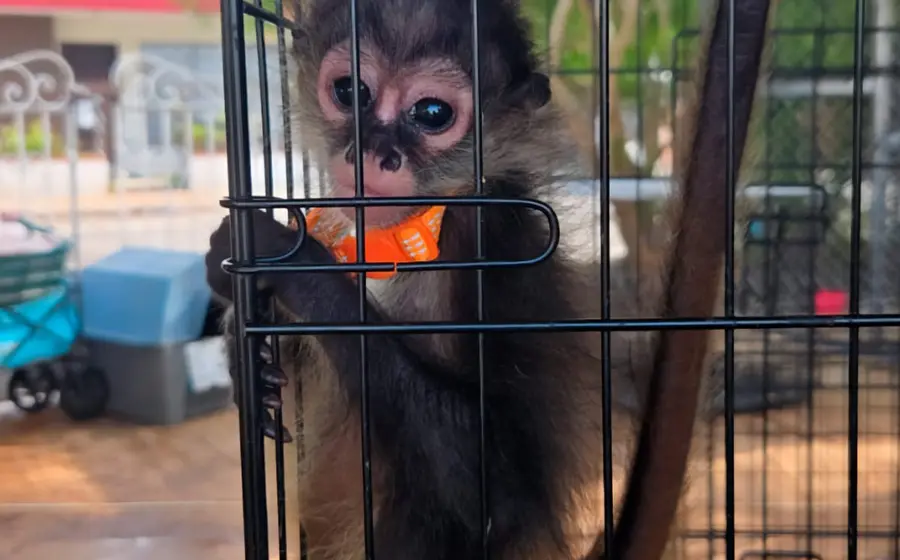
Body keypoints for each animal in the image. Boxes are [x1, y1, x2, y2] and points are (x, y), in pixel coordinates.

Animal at [205, 0, 772, 558]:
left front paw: (296, 267)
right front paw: (249, 343)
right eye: (349, 91)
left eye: (432, 114)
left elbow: (502, 499)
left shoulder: (496, 242)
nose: (372, 152)